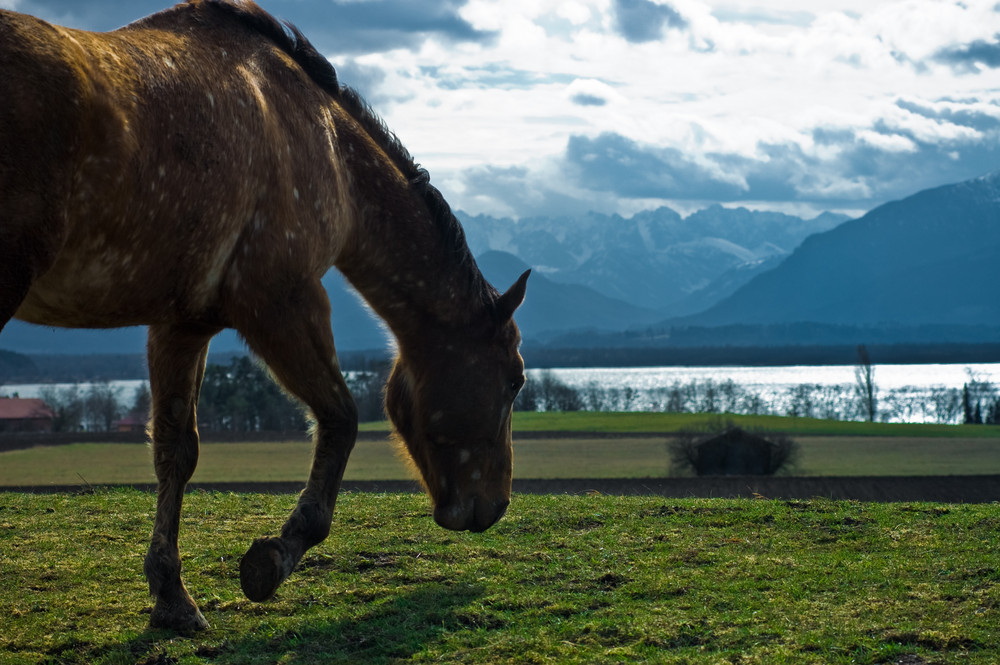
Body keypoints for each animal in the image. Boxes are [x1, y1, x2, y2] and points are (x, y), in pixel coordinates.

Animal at [0, 0, 528, 632]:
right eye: (515, 381)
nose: (494, 506)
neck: (322, 143)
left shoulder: (182, 326)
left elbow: (176, 450)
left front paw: (172, 597)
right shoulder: (284, 302)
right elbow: (341, 420)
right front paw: (276, 555)